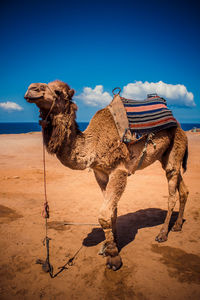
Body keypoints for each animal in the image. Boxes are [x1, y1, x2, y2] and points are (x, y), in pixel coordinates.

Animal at [24, 79, 188, 270]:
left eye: (58, 92)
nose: (32, 89)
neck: (92, 145)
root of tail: (179, 125)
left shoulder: (119, 170)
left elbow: (103, 215)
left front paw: (113, 257)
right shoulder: (101, 174)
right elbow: (112, 212)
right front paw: (112, 244)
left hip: (175, 146)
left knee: (172, 193)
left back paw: (162, 234)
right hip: (166, 155)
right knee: (183, 188)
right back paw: (177, 225)